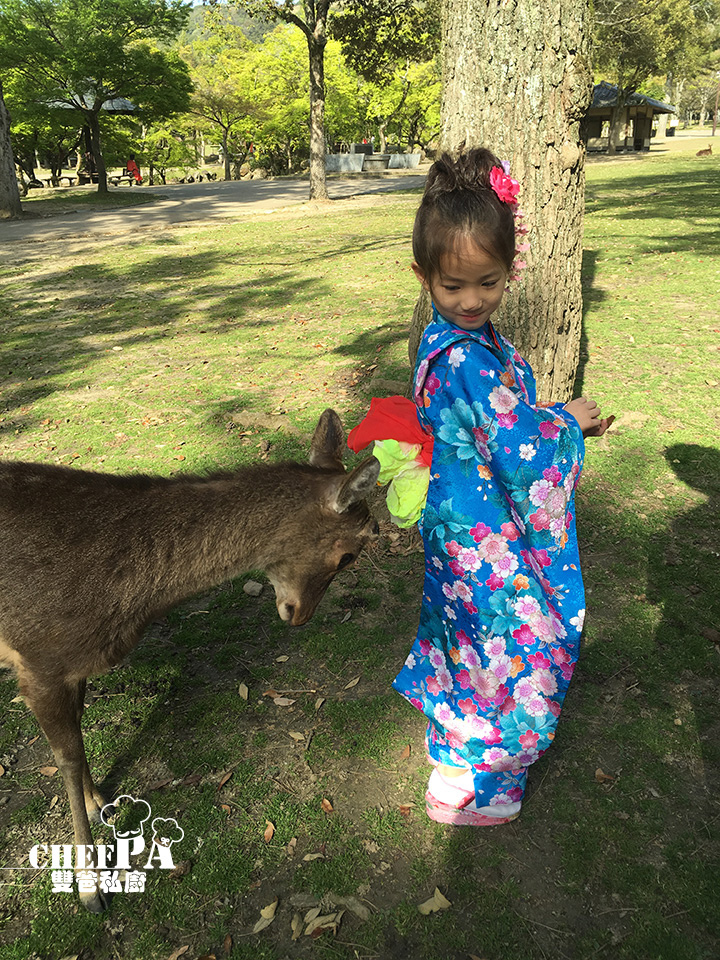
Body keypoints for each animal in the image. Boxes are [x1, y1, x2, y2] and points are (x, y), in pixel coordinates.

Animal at [0, 409, 380, 913]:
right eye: (347, 556)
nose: (300, 615)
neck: (119, 604)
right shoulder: (37, 660)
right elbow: (67, 756)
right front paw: (89, 884)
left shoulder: (70, 664)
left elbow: (78, 737)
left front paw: (100, 802)